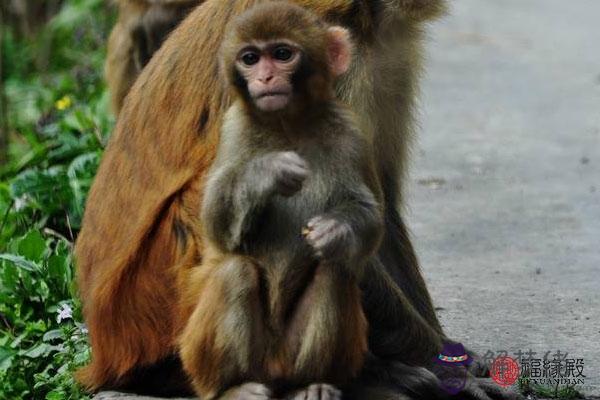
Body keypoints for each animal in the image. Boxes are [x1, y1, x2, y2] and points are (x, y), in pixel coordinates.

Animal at [76, 0, 516, 400]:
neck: (369, 16)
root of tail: (104, 349)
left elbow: (374, 207)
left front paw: (451, 355)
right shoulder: (334, 64)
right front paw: (442, 366)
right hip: (154, 304)